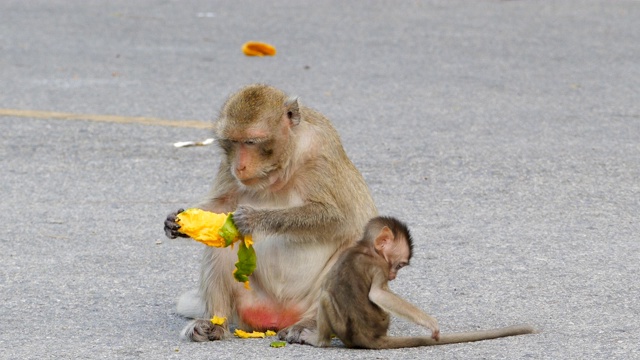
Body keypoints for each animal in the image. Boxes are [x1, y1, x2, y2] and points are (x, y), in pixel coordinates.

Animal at [162, 84, 378, 344]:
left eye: (251, 141)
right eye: (232, 142)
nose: (239, 167)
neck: (283, 167)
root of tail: (279, 317)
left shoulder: (322, 150)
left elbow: (340, 219)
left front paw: (253, 219)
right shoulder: (226, 164)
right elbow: (223, 206)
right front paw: (176, 221)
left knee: (350, 249)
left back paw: (309, 325)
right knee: (222, 247)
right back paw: (215, 324)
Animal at [300, 217, 536, 348]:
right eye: (400, 265)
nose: (394, 276)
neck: (367, 249)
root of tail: (370, 337)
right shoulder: (380, 267)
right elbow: (378, 294)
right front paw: (429, 322)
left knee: (324, 296)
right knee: (325, 297)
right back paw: (320, 341)